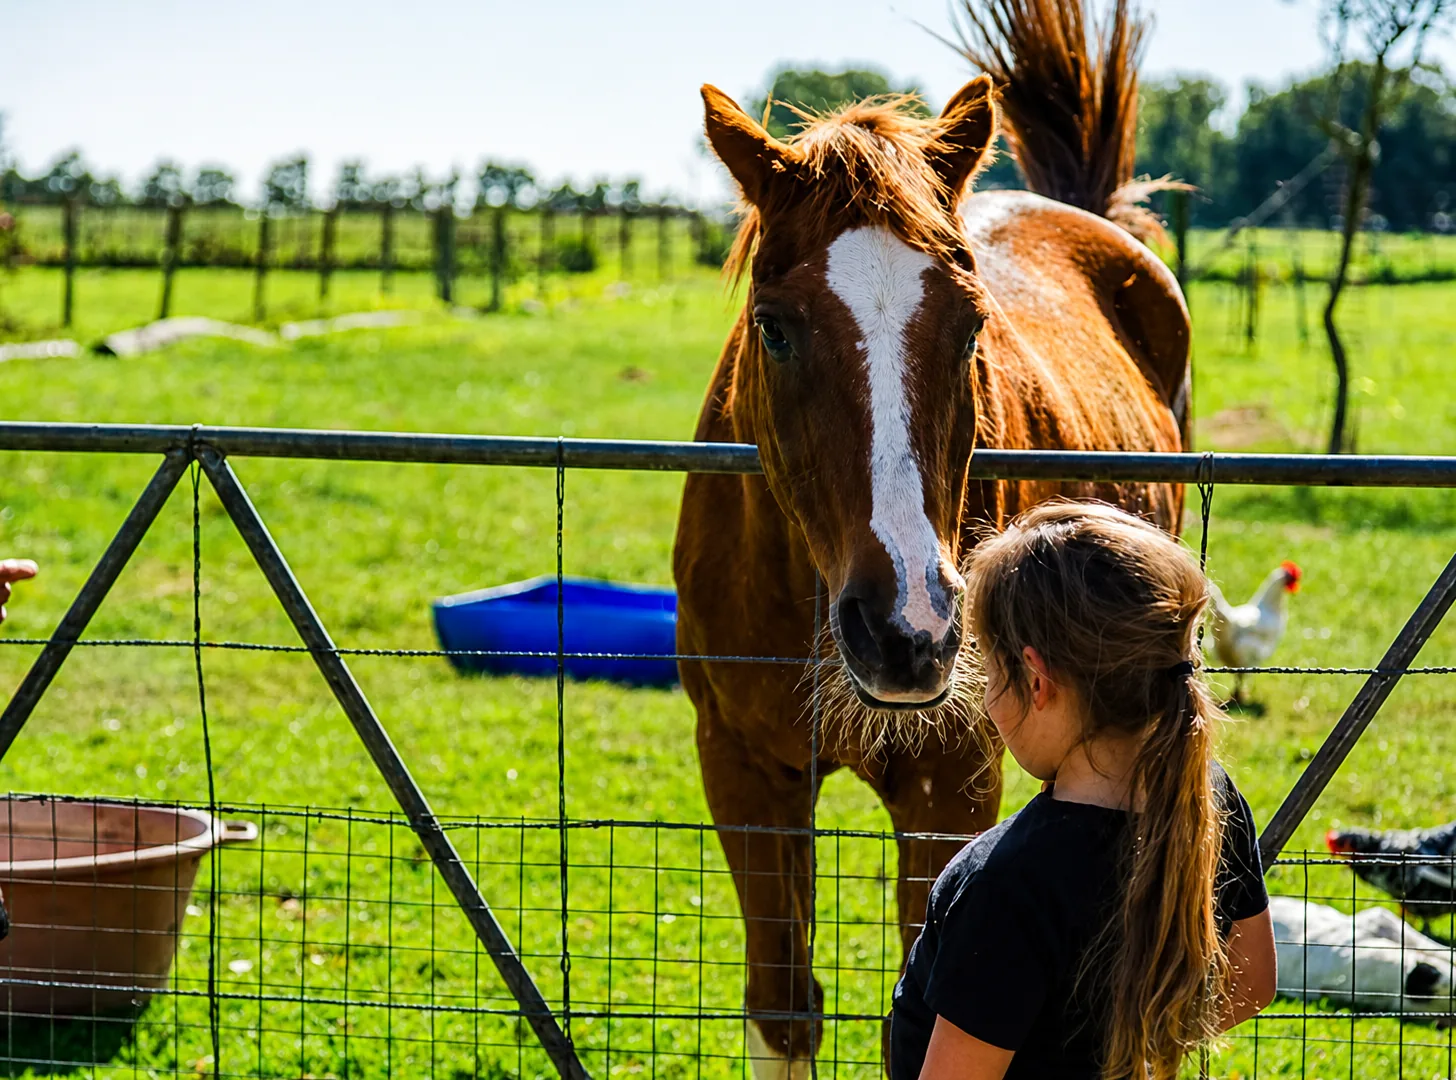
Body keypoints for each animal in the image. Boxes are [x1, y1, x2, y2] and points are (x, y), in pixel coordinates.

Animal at [672, 2, 1189, 1074]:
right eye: (773, 326)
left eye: (971, 327)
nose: (907, 630)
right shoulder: (743, 773)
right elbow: (783, 1010)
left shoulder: (950, 788)